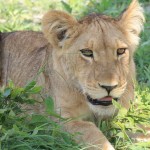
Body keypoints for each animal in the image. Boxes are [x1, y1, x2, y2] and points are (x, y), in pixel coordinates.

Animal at [0, 0, 145, 149]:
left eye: (121, 51)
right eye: (87, 52)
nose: (109, 87)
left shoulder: (126, 111)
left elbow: (140, 125)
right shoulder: (59, 120)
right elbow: (91, 132)